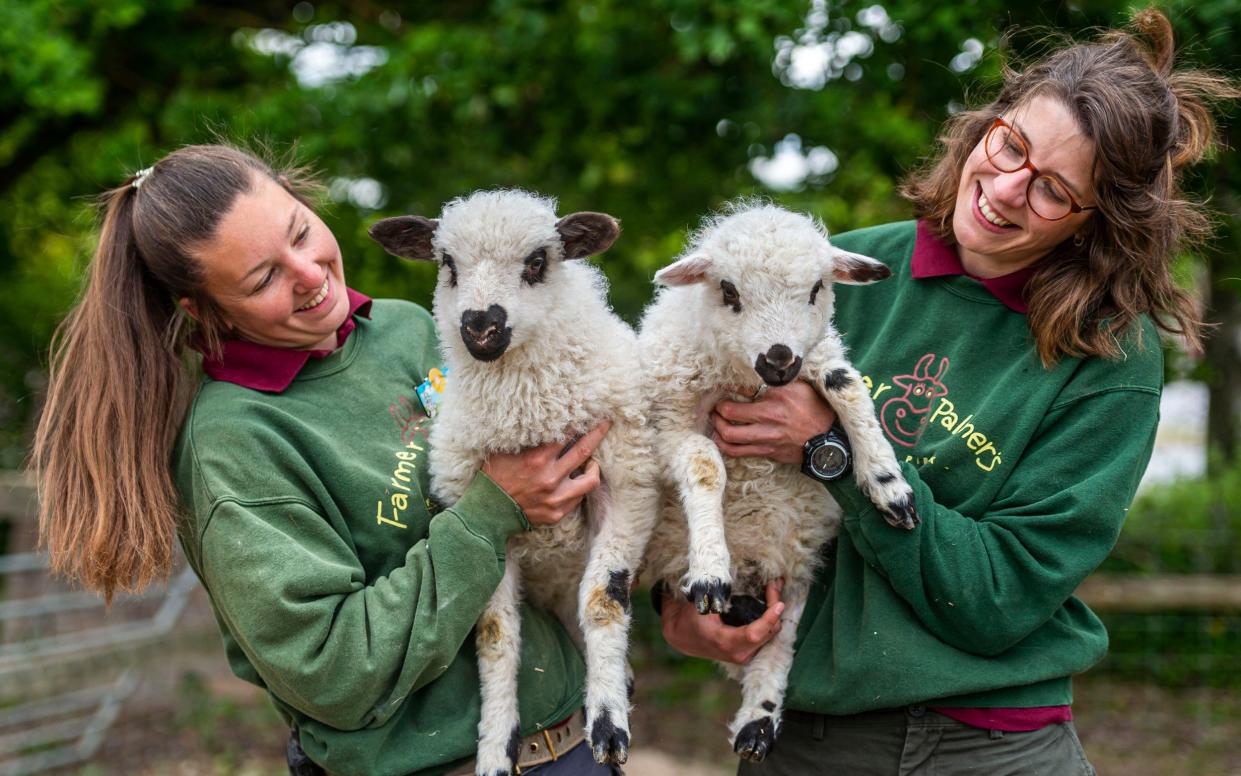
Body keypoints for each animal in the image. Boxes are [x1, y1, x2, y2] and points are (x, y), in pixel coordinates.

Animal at [367, 188, 660, 774]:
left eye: (537, 261)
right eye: (447, 264)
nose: (480, 325)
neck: (527, 413)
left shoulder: (624, 486)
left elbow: (603, 600)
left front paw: (608, 724)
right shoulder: (488, 533)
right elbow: (495, 635)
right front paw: (495, 747)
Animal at [640, 201, 923, 764]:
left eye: (816, 289)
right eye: (728, 291)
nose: (778, 358)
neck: (746, 381)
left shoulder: (819, 357)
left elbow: (847, 388)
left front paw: (888, 484)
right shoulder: (670, 427)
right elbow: (705, 464)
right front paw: (710, 569)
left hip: (794, 572)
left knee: (778, 644)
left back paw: (757, 721)